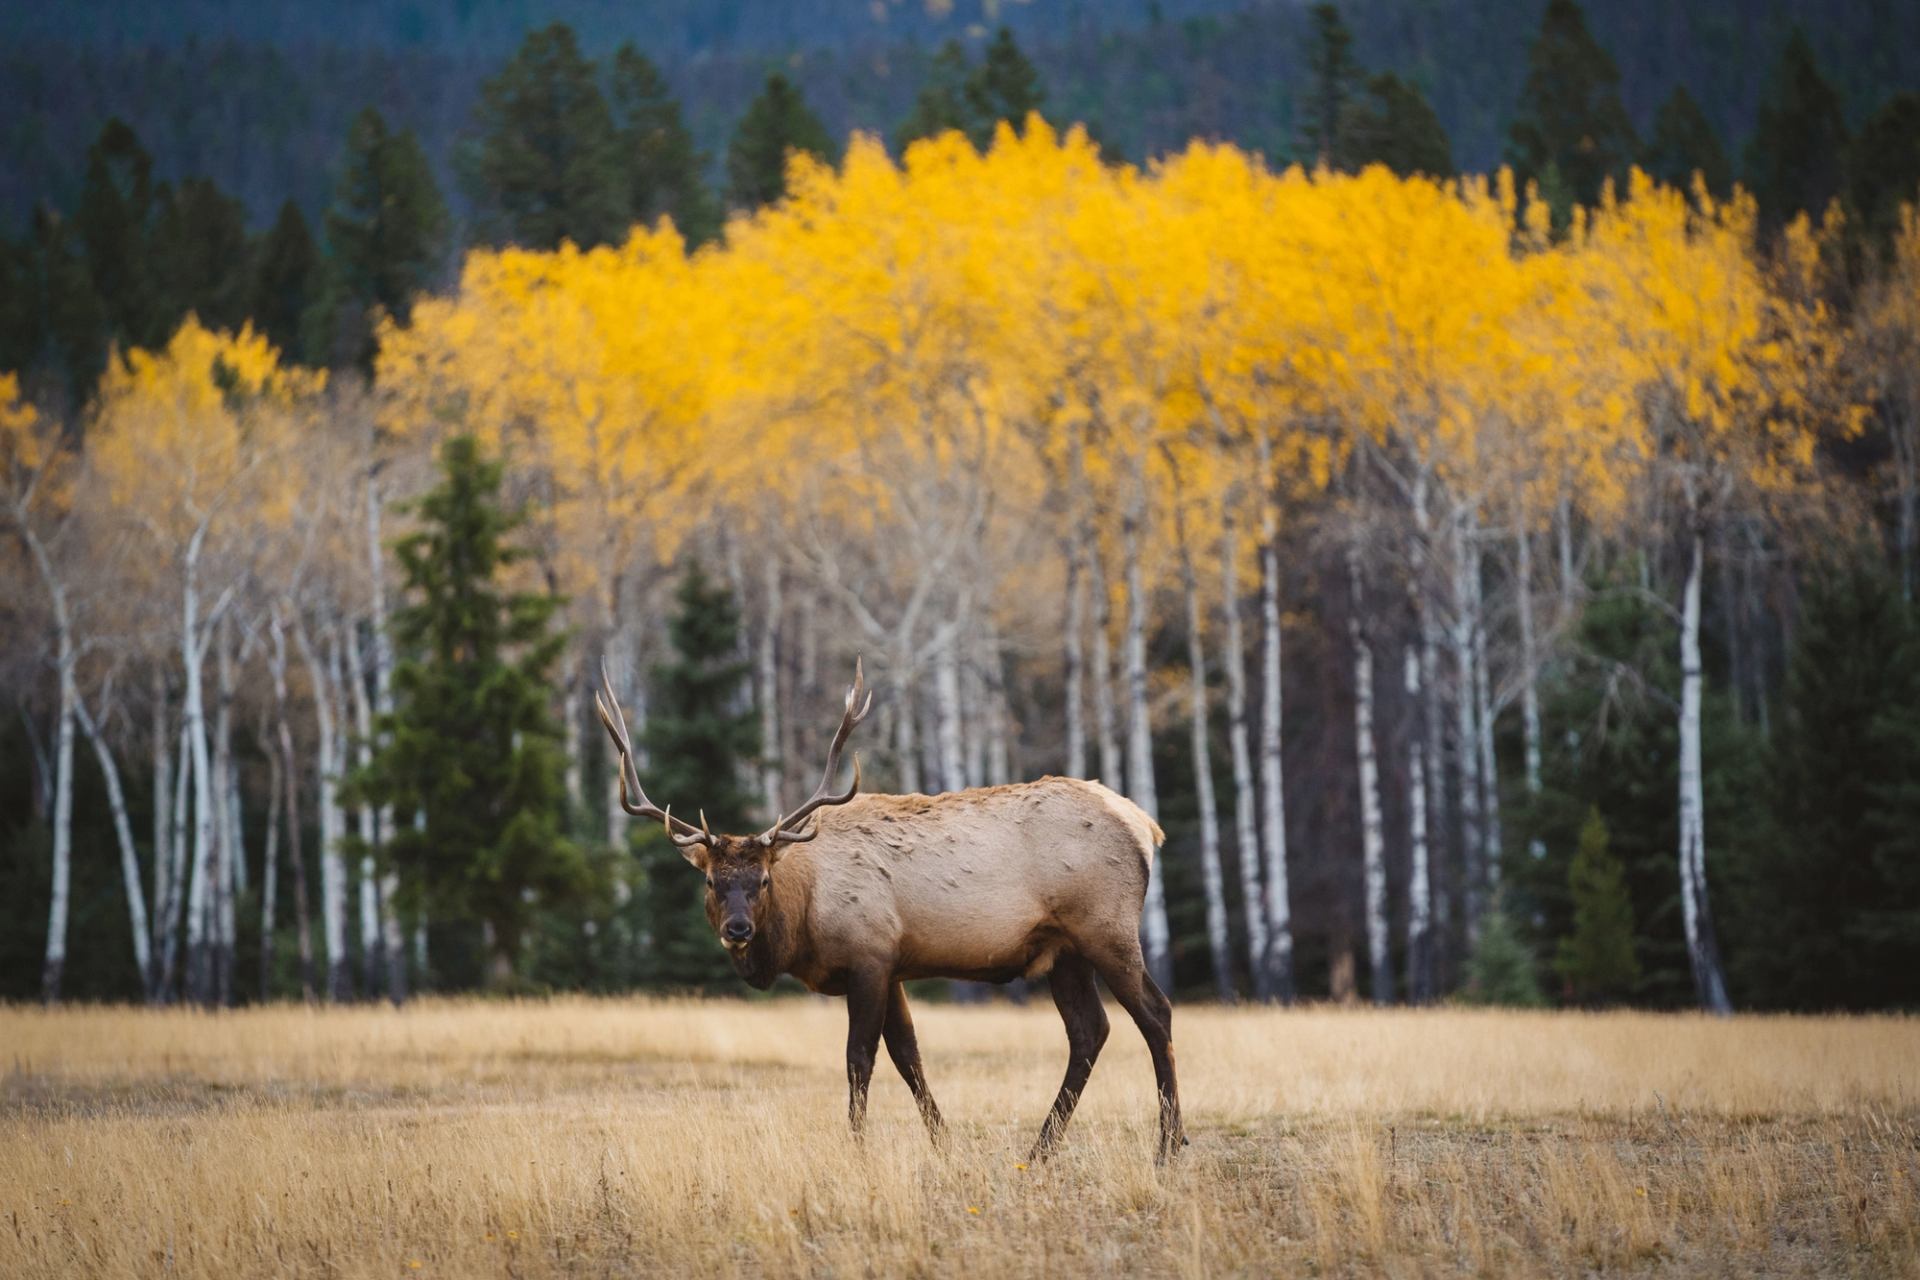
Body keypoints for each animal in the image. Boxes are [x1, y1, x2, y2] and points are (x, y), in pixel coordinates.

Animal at [591, 660, 1182, 1159]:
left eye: (762, 880)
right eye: (713, 882)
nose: (738, 929)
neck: (804, 918)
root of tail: (1145, 825)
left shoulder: (869, 955)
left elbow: (861, 1059)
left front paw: (857, 1147)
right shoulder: (894, 966)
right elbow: (909, 1056)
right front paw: (943, 1143)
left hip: (1106, 927)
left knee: (1155, 1013)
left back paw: (1169, 1144)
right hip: (1064, 950)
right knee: (1089, 1031)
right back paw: (1041, 1148)